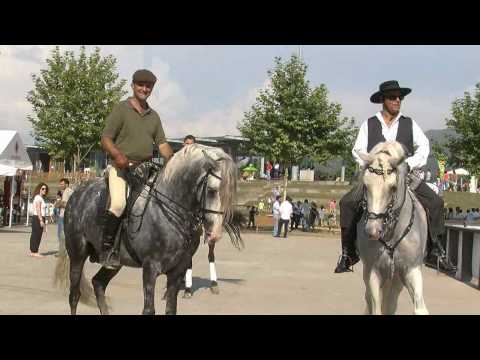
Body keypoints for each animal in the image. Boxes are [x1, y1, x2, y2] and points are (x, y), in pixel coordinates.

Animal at [54, 144, 242, 316]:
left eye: (230, 194)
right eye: (212, 190)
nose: (215, 233)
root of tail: (76, 194)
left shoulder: (177, 271)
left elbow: (171, 309)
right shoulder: (150, 268)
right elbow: (149, 310)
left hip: (115, 264)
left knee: (98, 283)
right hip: (77, 255)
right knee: (74, 295)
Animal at [358, 141, 430, 316]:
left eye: (392, 187)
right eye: (365, 186)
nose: (373, 231)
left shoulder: (411, 269)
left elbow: (419, 307)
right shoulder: (373, 272)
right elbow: (375, 307)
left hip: (397, 279)